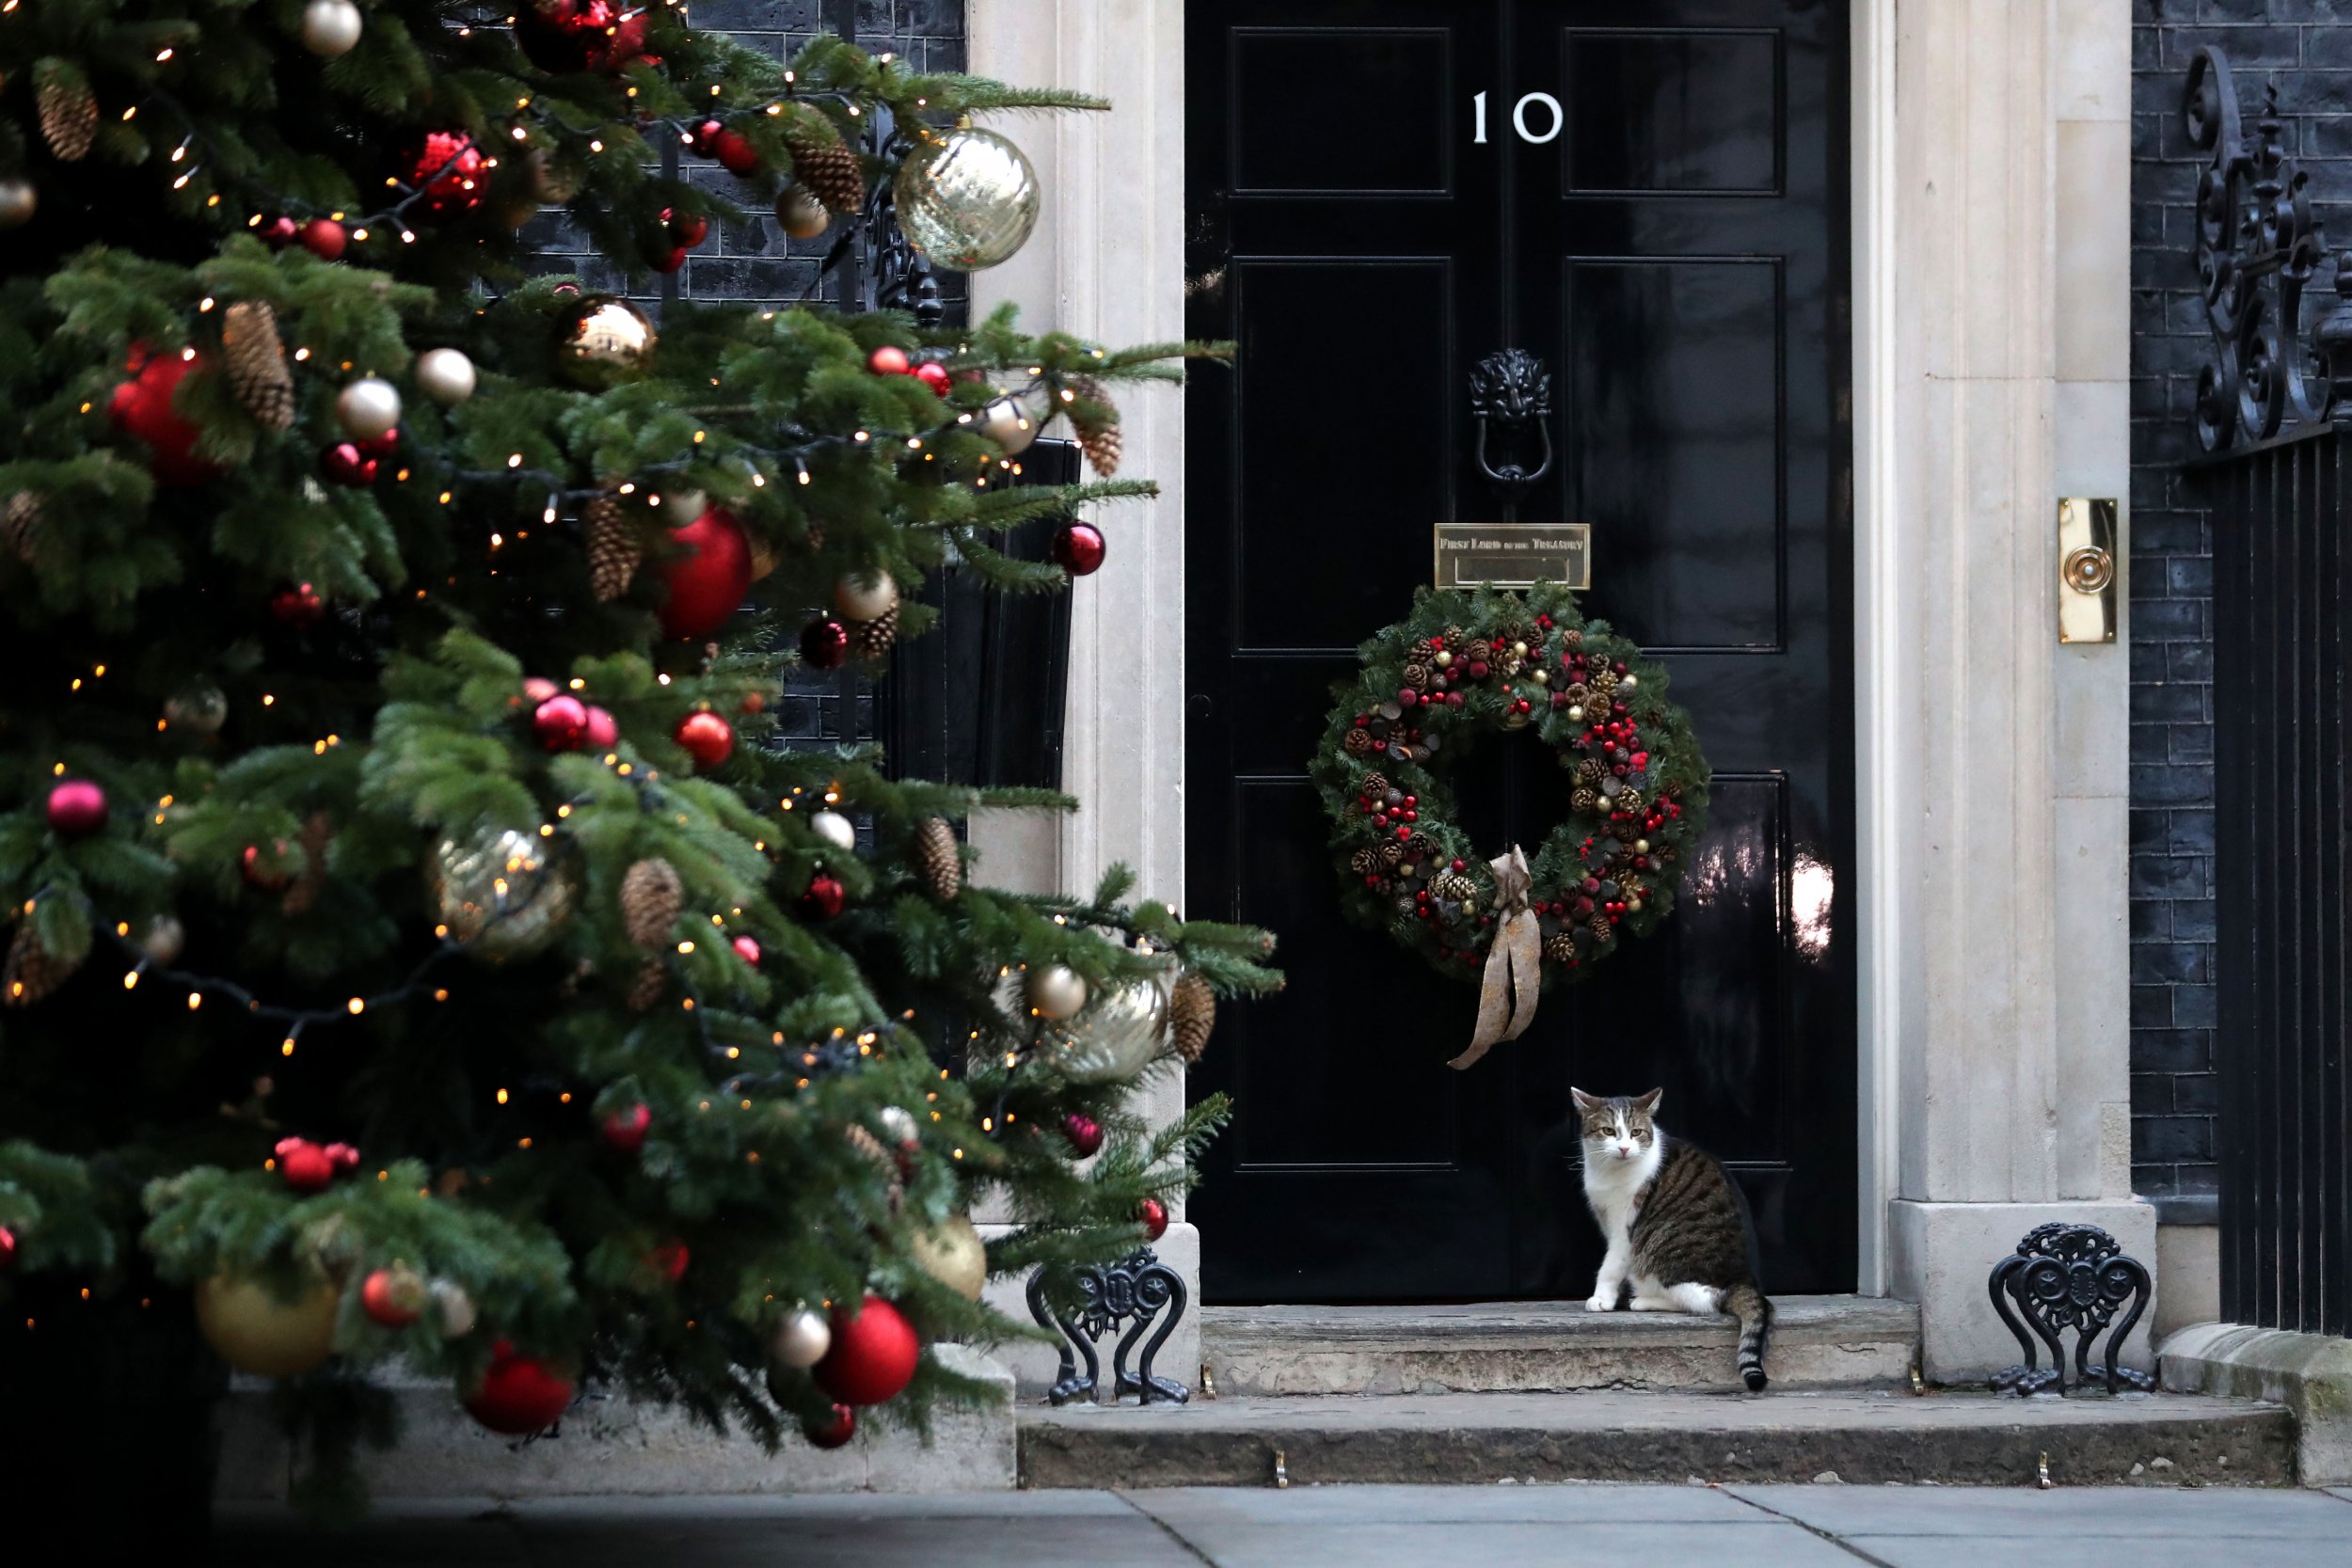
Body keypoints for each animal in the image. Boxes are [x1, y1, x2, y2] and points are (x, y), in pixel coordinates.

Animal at [1571, 1085, 1769, 1391]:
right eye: (1608, 1131)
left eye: (1636, 1132)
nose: (1625, 1148)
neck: (1610, 1172)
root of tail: (1743, 1279)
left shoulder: (1624, 1227)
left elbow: (1611, 1265)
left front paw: (1601, 1299)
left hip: (1658, 1256)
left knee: (1703, 1302)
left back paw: (1642, 1301)